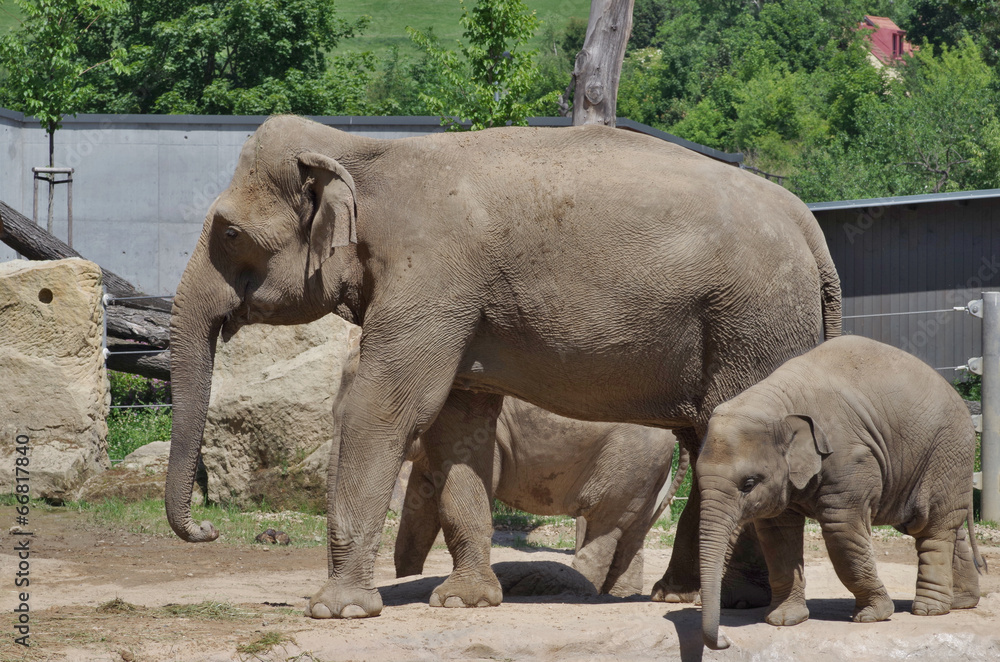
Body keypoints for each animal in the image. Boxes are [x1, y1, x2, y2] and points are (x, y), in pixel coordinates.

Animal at [395, 397, 687, 598]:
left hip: (628, 460)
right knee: (632, 532)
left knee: (605, 526)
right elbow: (420, 503)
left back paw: (576, 590)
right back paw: (618, 596)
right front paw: (405, 577)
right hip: (647, 470)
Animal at [696, 335, 986, 650]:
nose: (724, 641)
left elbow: (842, 529)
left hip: (947, 452)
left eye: (748, 484)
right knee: (947, 526)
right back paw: (960, 602)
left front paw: (873, 616)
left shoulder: (850, 458)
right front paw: (784, 620)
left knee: (932, 528)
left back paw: (929, 610)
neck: (779, 400)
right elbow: (777, 535)